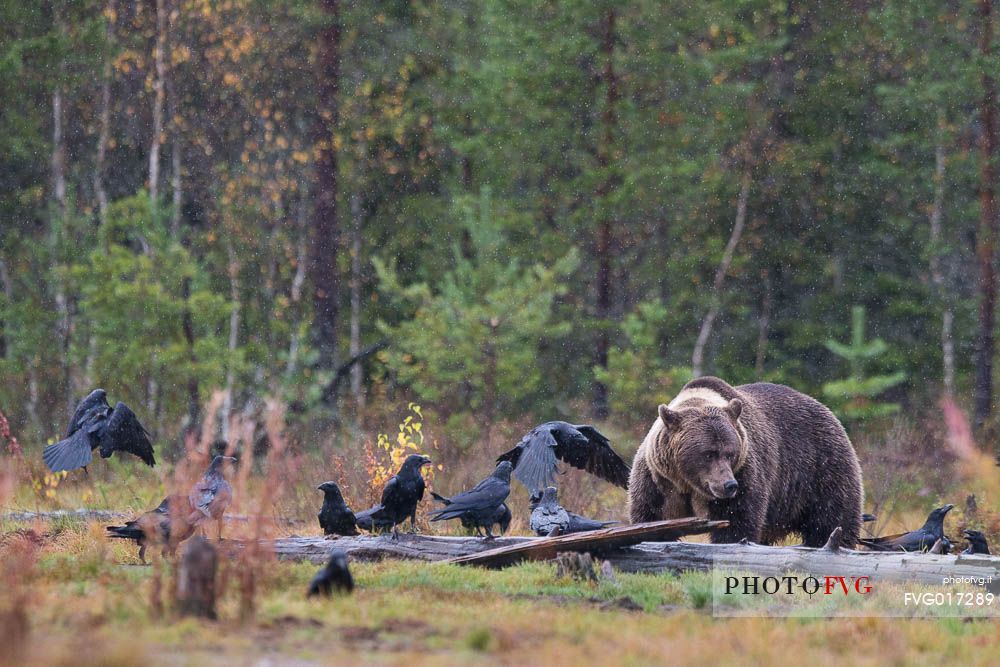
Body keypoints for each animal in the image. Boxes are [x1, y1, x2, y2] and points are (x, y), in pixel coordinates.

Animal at [628, 376, 864, 548]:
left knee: (830, 520)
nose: (729, 485)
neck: (688, 485)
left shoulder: (745, 471)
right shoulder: (659, 481)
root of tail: (828, 411)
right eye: (709, 453)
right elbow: (652, 519)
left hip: (820, 469)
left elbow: (737, 522)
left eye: (730, 453)